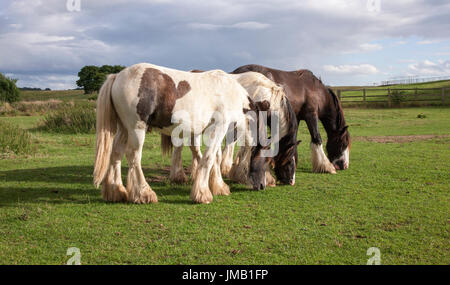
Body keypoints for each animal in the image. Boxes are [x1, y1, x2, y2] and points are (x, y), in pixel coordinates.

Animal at [93, 63, 258, 203]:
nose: (261, 186)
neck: (230, 92)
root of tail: (117, 76)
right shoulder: (219, 127)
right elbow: (209, 158)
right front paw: (202, 194)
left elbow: (214, 158)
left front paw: (218, 186)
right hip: (136, 128)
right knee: (133, 155)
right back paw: (144, 194)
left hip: (124, 129)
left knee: (116, 153)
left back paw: (116, 192)